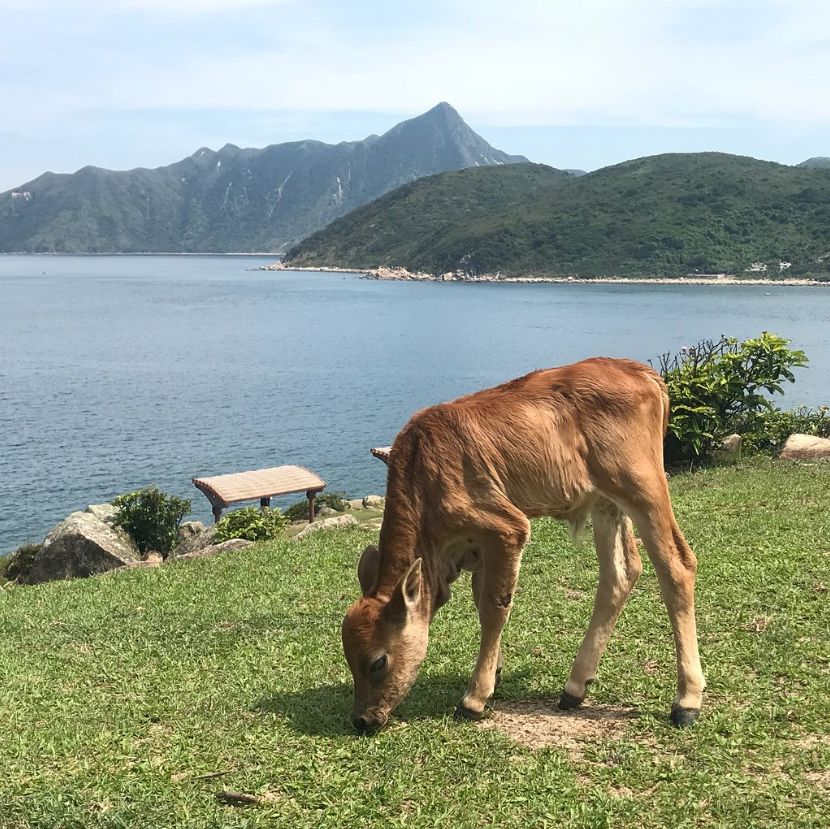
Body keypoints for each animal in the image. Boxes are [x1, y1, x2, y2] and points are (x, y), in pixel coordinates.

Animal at [342, 356, 704, 732]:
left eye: (377, 662)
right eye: (348, 659)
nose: (362, 720)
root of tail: (638, 370)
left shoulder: (506, 529)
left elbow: (493, 610)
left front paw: (474, 698)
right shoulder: (480, 548)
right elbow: (482, 600)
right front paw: (495, 672)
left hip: (642, 488)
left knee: (677, 565)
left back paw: (687, 701)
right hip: (606, 503)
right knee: (620, 574)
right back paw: (575, 688)